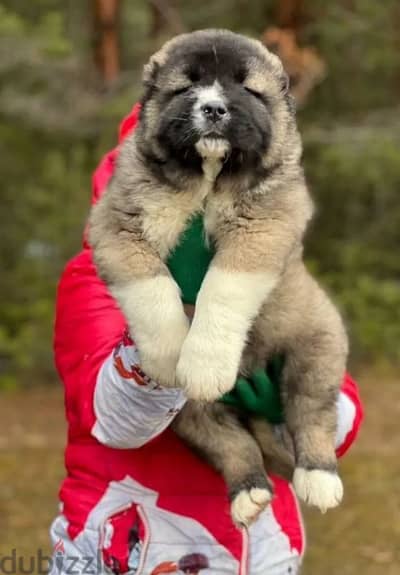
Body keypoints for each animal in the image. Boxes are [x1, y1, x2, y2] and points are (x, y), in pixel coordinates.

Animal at [89, 30, 348, 528]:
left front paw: (204, 362)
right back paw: (249, 492)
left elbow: (222, 288)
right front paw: (171, 357)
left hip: (318, 343)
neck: (208, 178)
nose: (212, 109)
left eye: (247, 89)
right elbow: (153, 288)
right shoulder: (116, 226)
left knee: (311, 412)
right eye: (186, 86)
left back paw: (319, 477)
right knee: (233, 444)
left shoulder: (264, 225)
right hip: (190, 415)